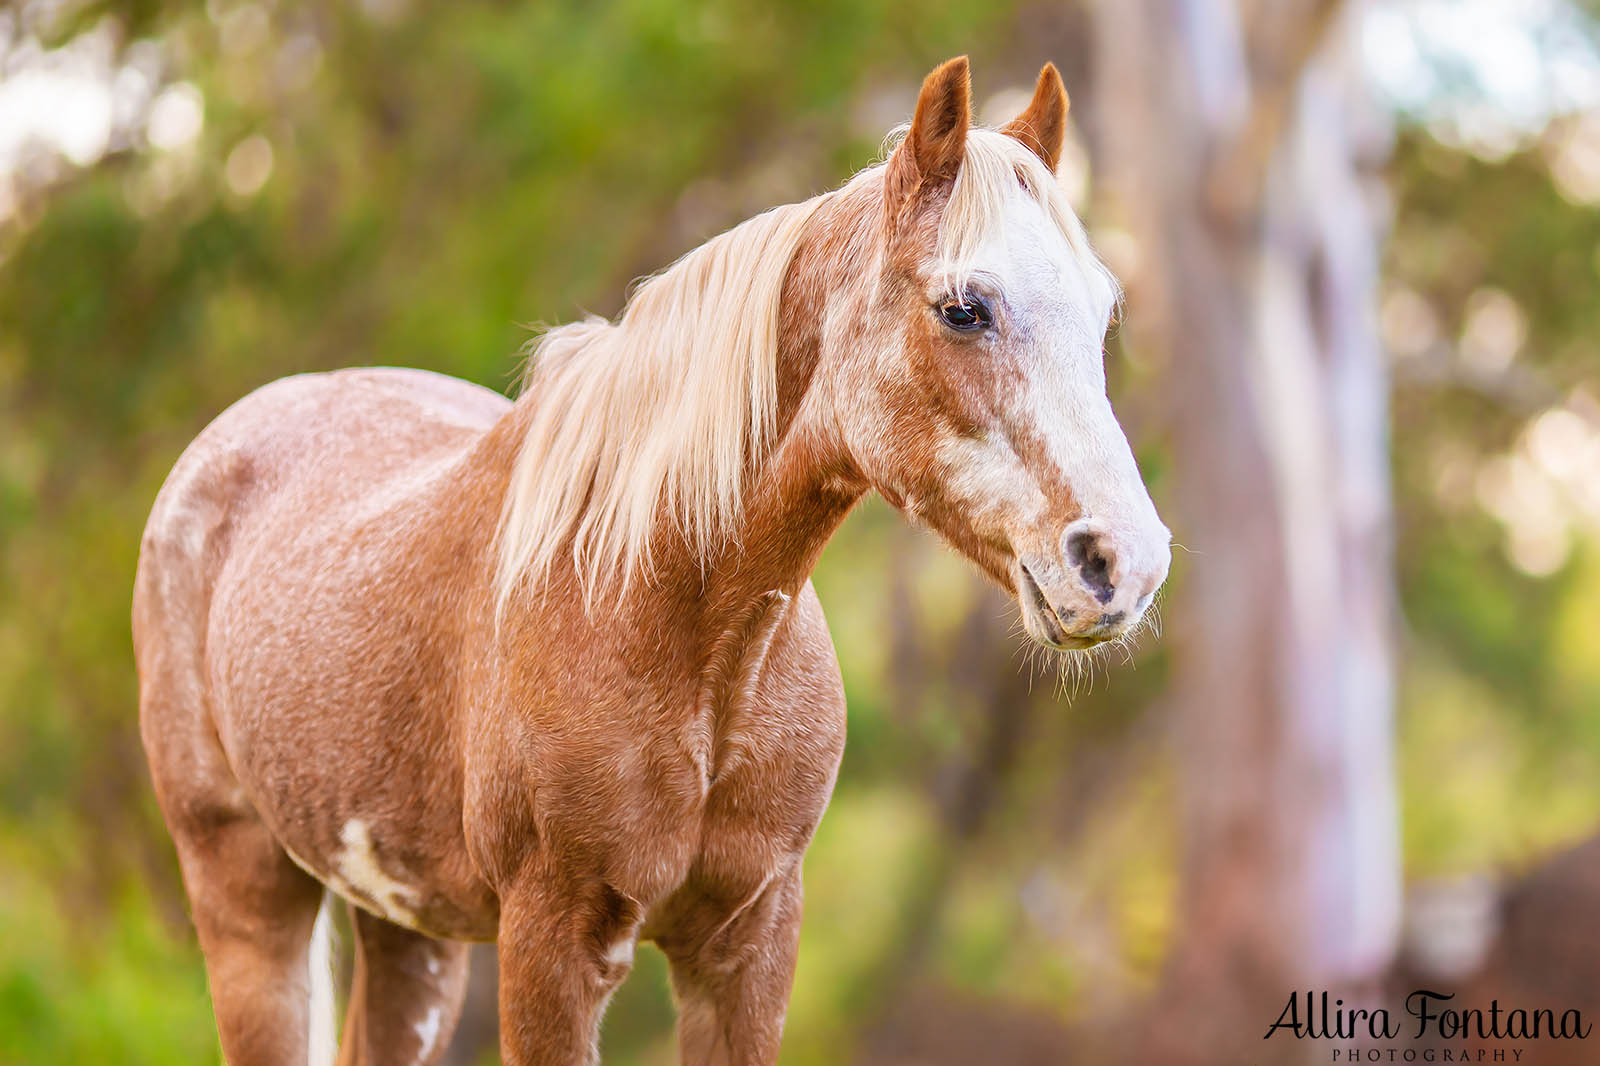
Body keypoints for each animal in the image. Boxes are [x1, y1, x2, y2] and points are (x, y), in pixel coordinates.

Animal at [131, 58, 1171, 1062]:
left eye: (1104, 313)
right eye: (964, 309)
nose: (1122, 563)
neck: (682, 636)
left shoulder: (748, 946)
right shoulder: (550, 949)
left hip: (407, 932)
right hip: (246, 898)